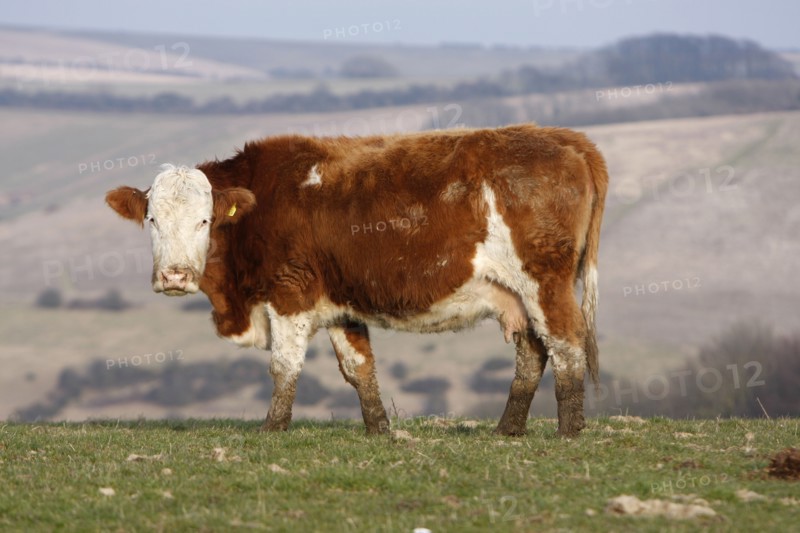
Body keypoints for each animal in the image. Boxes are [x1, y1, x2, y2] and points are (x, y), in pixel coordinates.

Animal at [106, 124, 608, 437]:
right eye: (152, 219)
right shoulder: (339, 304)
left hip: (544, 281)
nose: (174, 275)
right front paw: (379, 430)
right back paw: (507, 429)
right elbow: (359, 368)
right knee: (533, 352)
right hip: (518, 294)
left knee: (566, 343)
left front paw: (271, 428)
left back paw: (568, 432)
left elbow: (284, 366)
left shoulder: (289, 292)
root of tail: (564, 138)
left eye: (205, 221)